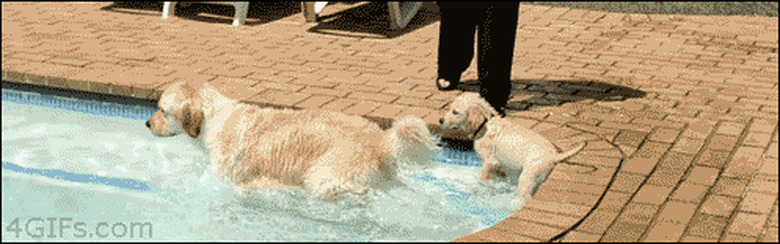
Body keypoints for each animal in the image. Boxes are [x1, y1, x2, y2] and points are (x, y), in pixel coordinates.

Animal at [146, 81, 438, 201]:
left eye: (162, 110)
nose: (147, 124)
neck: (213, 118)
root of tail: (380, 139)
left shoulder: (231, 176)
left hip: (324, 178)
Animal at [438, 92, 584, 201]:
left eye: (455, 112)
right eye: (450, 109)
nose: (440, 120)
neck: (485, 124)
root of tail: (554, 155)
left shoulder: (489, 162)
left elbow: (482, 178)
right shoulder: (499, 166)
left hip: (527, 178)